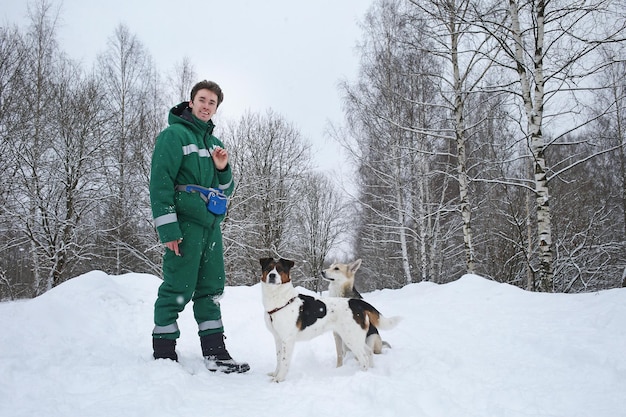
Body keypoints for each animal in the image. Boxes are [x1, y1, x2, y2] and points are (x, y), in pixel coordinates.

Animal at [260, 258, 400, 382]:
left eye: (279, 269)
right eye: (268, 269)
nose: (272, 275)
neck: (280, 301)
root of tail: (356, 303)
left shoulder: (287, 340)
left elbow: (284, 361)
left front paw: (279, 379)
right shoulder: (278, 338)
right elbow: (278, 359)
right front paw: (275, 374)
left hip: (351, 339)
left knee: (364, 357)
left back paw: (361, 375)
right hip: (355, 338)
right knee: (369, 352)